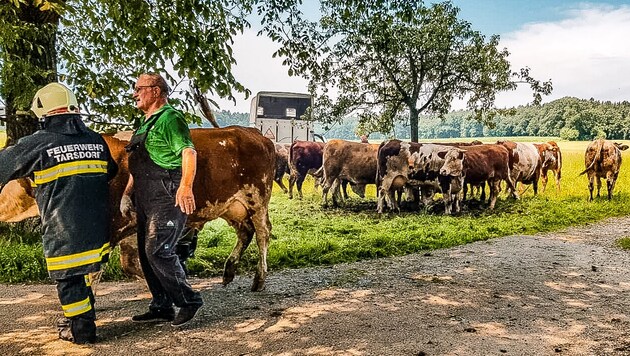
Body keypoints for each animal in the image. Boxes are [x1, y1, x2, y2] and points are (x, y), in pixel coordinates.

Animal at [1, 127, 276, 292]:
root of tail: (253, 132)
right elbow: (131, 264)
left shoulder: (109, 227)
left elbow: (96, 271)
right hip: (231, 206)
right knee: (245, 232)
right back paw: (229, 272)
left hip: (257, 197)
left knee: (262, 233)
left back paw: (259, 278)